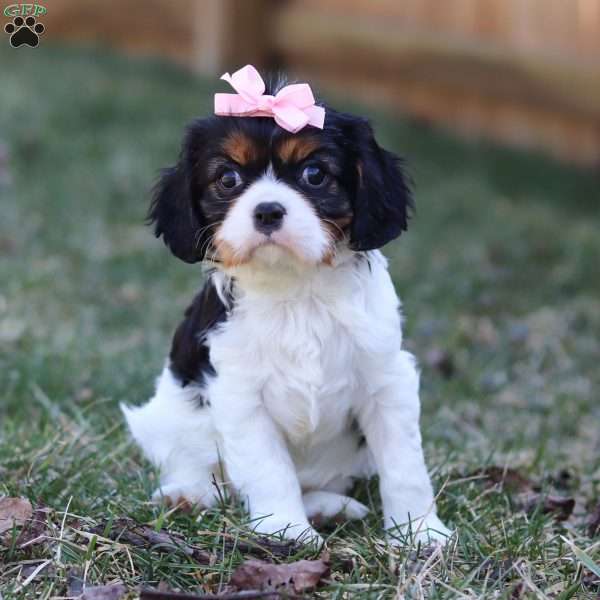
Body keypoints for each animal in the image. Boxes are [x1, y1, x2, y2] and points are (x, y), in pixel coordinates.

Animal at [122, 68, 450, 548]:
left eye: (314, 174)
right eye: (227, 180)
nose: (268, 212)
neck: (297, 288)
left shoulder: (387, 381)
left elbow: (404, 465)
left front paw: (421, 532)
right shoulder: (240, 395)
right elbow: (268, 467)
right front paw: (287, 529)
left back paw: (329, 507)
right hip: (168, 414)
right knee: (198, 465)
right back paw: (189, 494)